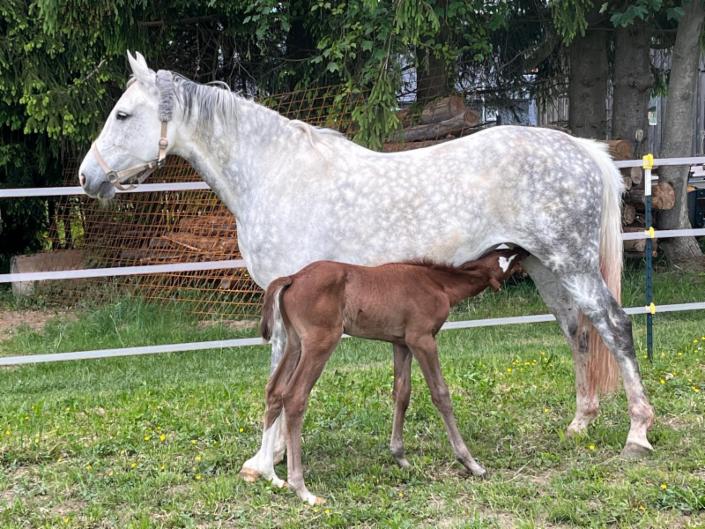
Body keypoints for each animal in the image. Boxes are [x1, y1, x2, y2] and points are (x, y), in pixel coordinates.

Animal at [259, 249, 525, 504]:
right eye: (510, 258)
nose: (525, 256)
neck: (437, 283)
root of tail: (293, 278)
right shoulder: (422, 339)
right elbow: (440, 394)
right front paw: (470, 462)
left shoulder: (401, 343)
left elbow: (402, 393)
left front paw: (400, 457)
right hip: (320, 343)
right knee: (294, 396)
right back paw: (301, 488)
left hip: (295, 342)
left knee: (274, 390)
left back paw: (268, 473)